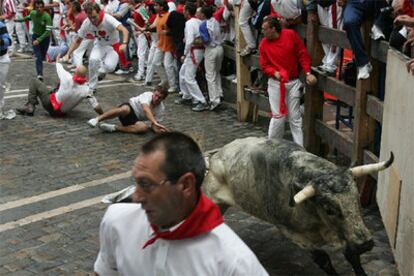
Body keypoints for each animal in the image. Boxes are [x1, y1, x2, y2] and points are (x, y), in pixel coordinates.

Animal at [204, 137, 394, 274]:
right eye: (329, 209)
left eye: (357, 198)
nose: (365, 244)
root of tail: (216, 156)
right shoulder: (292, 232)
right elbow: (323, 258)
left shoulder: (345, 232)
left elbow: (352, 255)